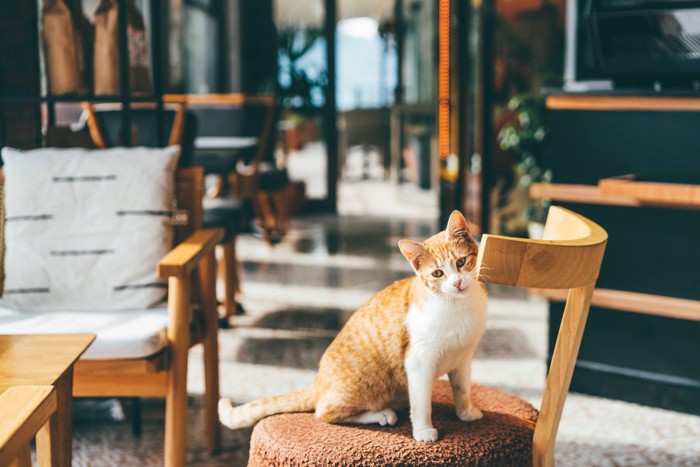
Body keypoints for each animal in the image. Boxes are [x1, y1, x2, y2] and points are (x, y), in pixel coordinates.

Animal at [219, 211, 486, 442]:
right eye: (438, 274)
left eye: (461, 262)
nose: (458, 283)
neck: (456, 307)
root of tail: (319, 380)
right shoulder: (418, 362)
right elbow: (421, 404)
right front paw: (423, 430)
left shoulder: (462, 358)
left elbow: (462, 389)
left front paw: (465, 412)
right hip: (362, 386)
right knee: (324, 411)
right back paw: (382, 414)